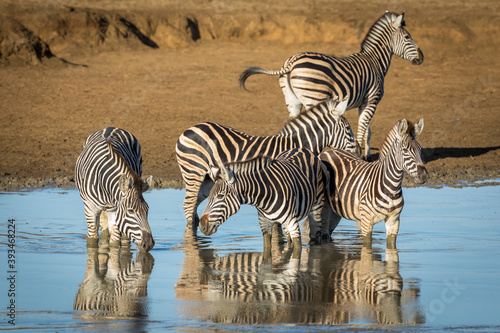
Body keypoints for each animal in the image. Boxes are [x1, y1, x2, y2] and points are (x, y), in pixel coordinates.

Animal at [174, 96, 358, 228]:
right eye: (348, 129)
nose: (358, 154)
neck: (294, 144)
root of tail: (187, 130)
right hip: (193, 173)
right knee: (188, 206)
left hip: (206, 179)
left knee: (192, 206)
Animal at [199, 148, 328, 256]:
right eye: (209, 196)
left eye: (220, 196)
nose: (201, 225)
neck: (263, 196)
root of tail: (302, 149)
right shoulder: (264, 224)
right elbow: (266, 252)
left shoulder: (292, 223)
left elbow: (297, 252)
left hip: (316, 208)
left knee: (315, 237)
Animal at [240, 11, 424, 160]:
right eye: (407, 37)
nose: (421, 58)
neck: (375, 62)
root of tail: (291, 62)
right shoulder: (372, 99)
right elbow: (362, 128)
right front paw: (361, 156)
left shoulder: (364, 102)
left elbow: (368, 130)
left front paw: (367, 154)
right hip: (313, 98)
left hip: (292, 100)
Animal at [318, 118, 428, 248]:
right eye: (405, 150)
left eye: (420, 149)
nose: (423, 175)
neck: (392, 187)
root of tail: (328, 151)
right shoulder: (366, 221)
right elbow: (367, 247)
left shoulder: (394, 220)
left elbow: (392, 247)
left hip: (336, 210)